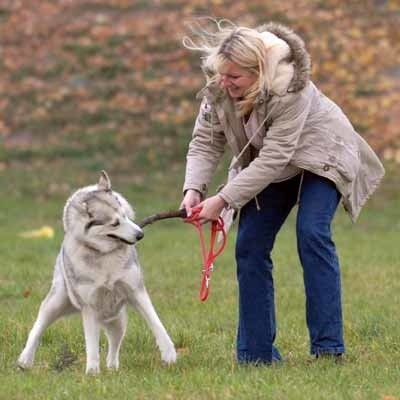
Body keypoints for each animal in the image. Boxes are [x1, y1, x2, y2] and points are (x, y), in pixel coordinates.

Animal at [16, 172, 177, 376]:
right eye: (115, 223)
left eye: (125, 215)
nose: (140, 234)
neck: (104, 255)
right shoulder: (89, 307)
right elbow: (91, 344)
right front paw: (92, 372)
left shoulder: (136, 292)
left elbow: (156, 323)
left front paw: (169, 353)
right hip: (57, 302)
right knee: (37, 329)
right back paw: (25, 359)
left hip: (117, 320)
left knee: (114, 345)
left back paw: (113, 367)